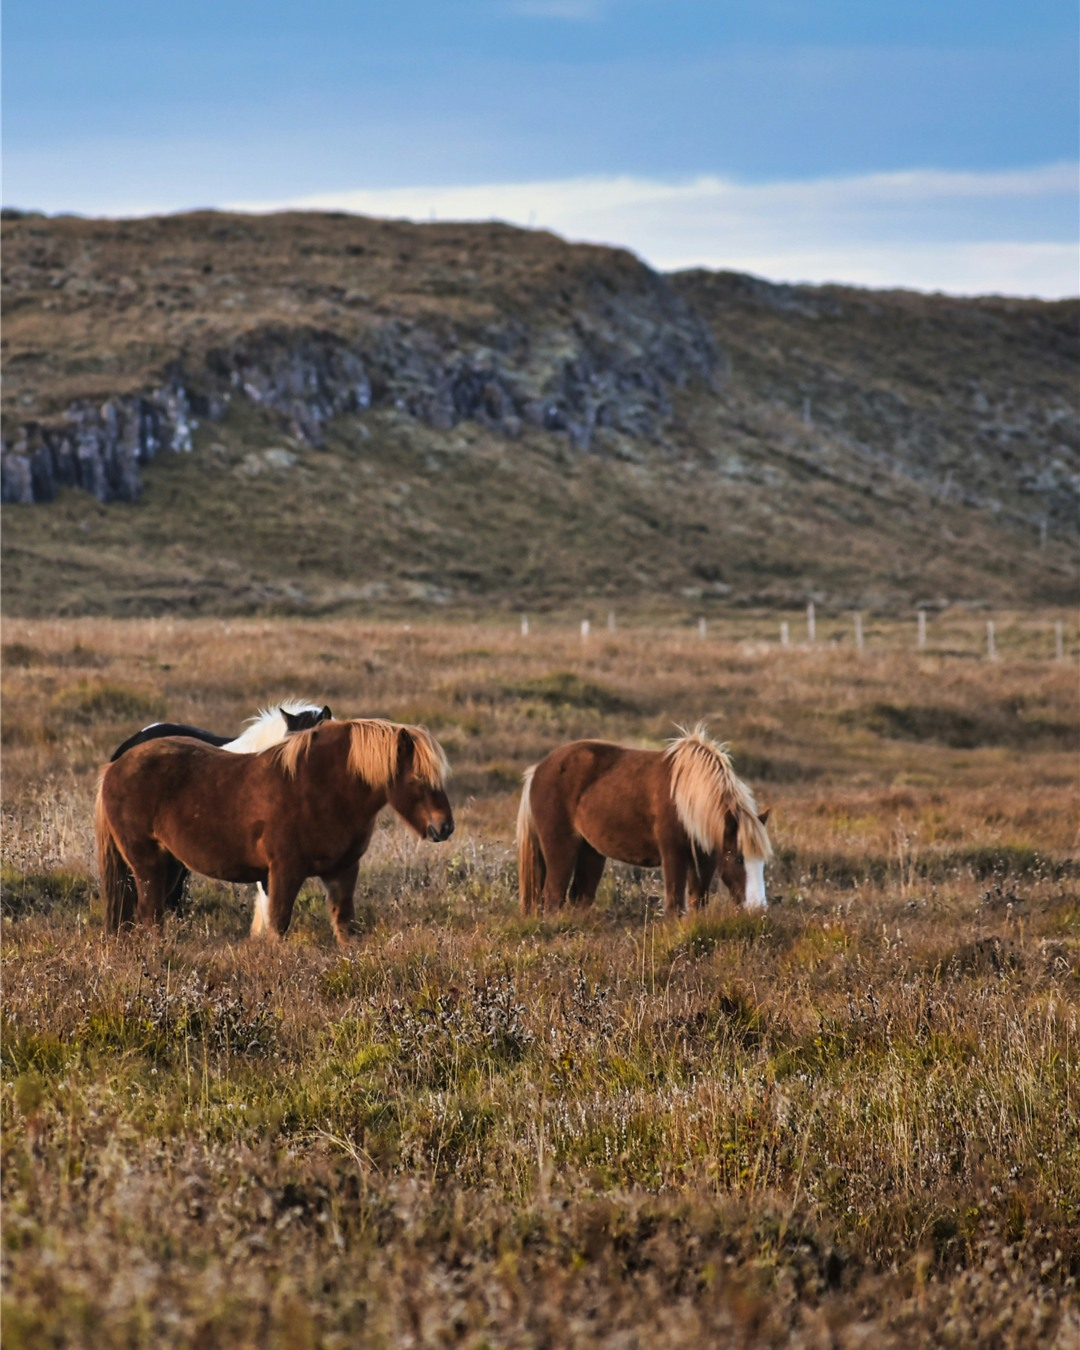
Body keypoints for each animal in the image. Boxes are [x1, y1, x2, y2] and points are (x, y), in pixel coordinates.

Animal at [96, 718, 454, 945]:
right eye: (418, 777)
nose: (445, 827)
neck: (323, 788)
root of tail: (114, 766)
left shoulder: (342, 871)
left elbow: (345, 927)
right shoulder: (283, 871)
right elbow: (277, 924)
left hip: (168, 866)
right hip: (148, 865)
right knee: (149, 915)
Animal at [516, 725, 771, 917]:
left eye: (762, 862)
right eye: (739, 859)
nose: (757, 908)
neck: (689, 795)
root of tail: (537, 770)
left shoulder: (706, 858)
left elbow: (698, 901)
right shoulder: (673, 854)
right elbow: (675, 905)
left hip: (590, 852)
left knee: (580, 897)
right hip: (561, 849)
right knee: (553, 897)